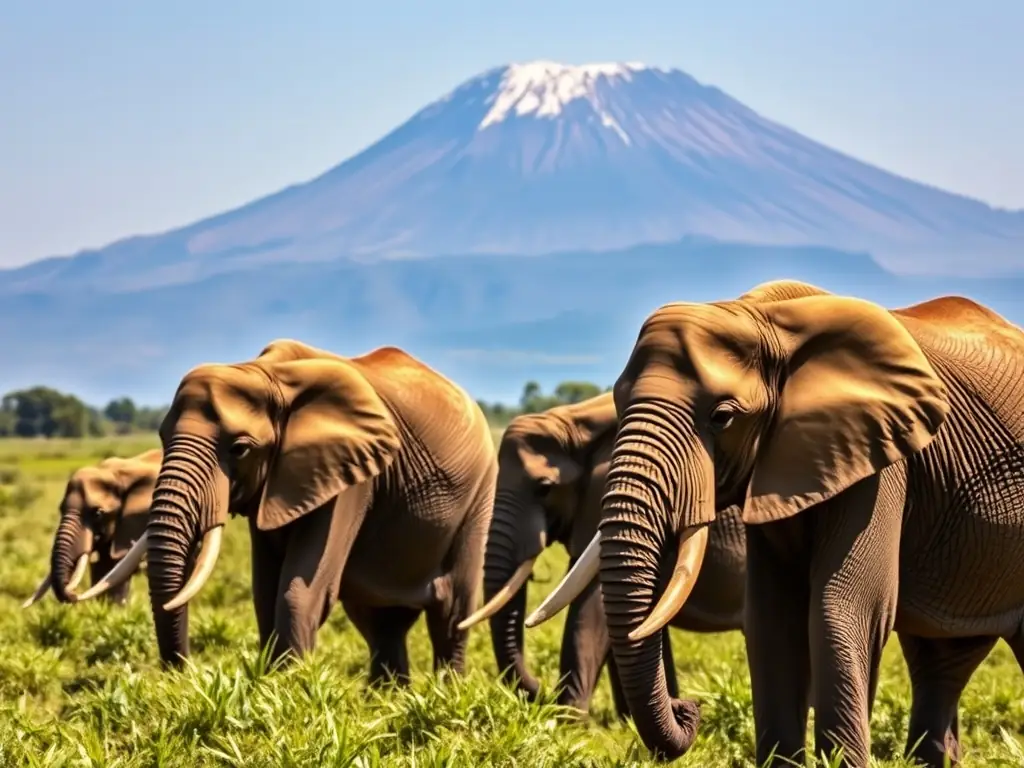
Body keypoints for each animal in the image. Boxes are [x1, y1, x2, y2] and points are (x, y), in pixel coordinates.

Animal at [81, 339, 497, 684]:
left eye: (240, 449)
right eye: (163, 438)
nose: (182, 675)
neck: (264, 374)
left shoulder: (351, 480)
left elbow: (298, 591)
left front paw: (289, 690)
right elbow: (265, 591)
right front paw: (274, 684)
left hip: (480, 495)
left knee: (450, 611)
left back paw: (445, 694)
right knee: (380, 623)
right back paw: (388, 699)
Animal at [456, 393, 745, 720]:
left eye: (544, 489)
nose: (538, 689)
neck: (578, 418)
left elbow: (589, 613)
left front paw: (567, 722)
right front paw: (629, 720)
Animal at [532, 280, 1024, 768]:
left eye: (722, 417)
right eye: (617, 404)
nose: (688, 706)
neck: (762, 318)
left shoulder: (883, 460)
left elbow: (843, 606)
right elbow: (772, 615)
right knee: (940, 658)